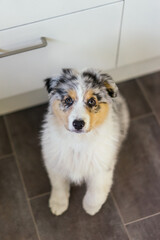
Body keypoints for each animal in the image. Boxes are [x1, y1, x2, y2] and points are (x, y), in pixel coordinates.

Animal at [40, 68, 129, 217]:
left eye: (92, 101)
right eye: (68, 100)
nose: (78, 124)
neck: (79, 141)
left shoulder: (102, 167)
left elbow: (96, 191)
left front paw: (91, 208)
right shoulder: (56, 161)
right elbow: (58, 185)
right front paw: (58, 205)